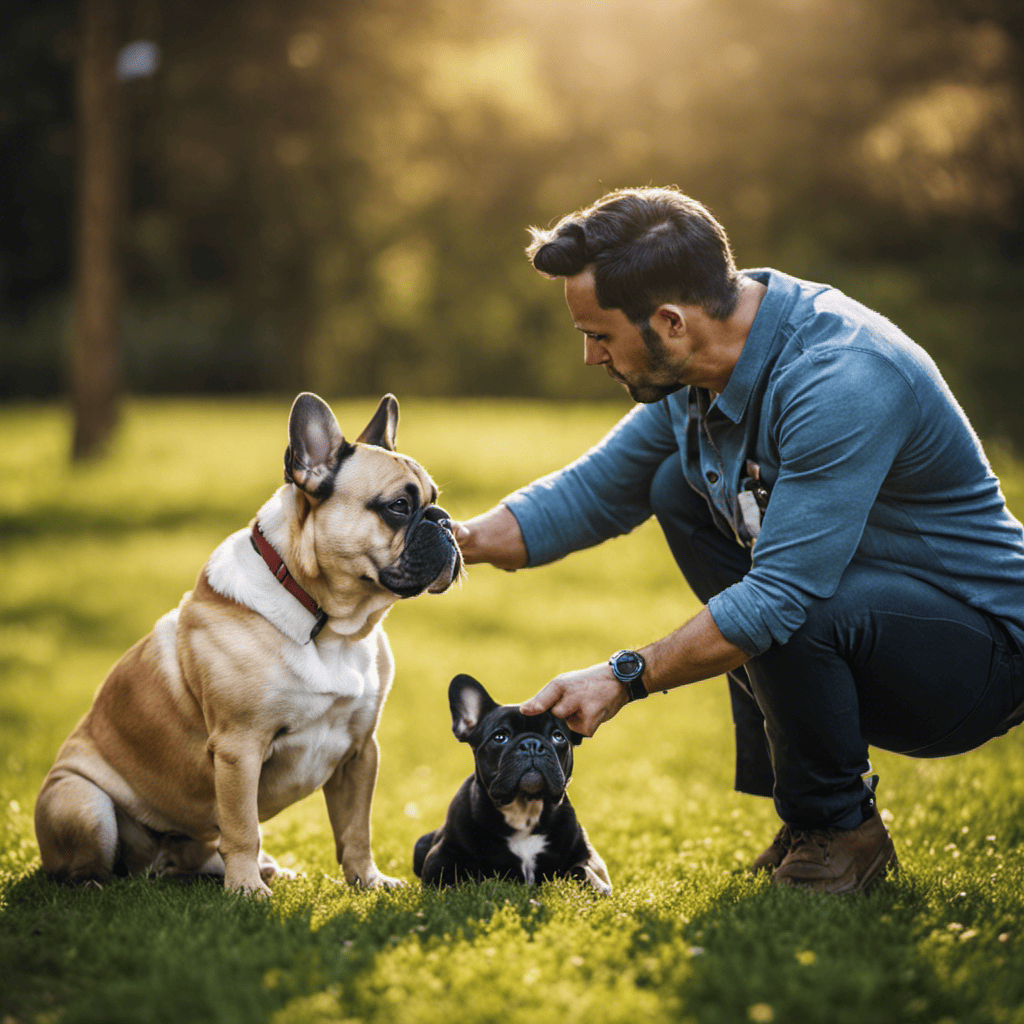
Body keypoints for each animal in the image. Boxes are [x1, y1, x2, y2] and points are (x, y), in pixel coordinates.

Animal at [35, 391, 460, 897]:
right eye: (398, 506)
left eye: (435, 502)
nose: (446, 522)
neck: (327, 624)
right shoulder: (240, 748)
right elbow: (241, 827)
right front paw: (246, 892)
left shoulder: (360, 752)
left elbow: (356, 829)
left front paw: (368, 880)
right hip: (82, 803)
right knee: (90, 865)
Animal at [411, 675, 610, 892]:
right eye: (500, 737)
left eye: (558, 737)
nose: (532, 744)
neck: (524, 811)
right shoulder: (440, 858)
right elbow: (461, 876)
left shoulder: (590, 858)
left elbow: (581, 870)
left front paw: (597, 886)